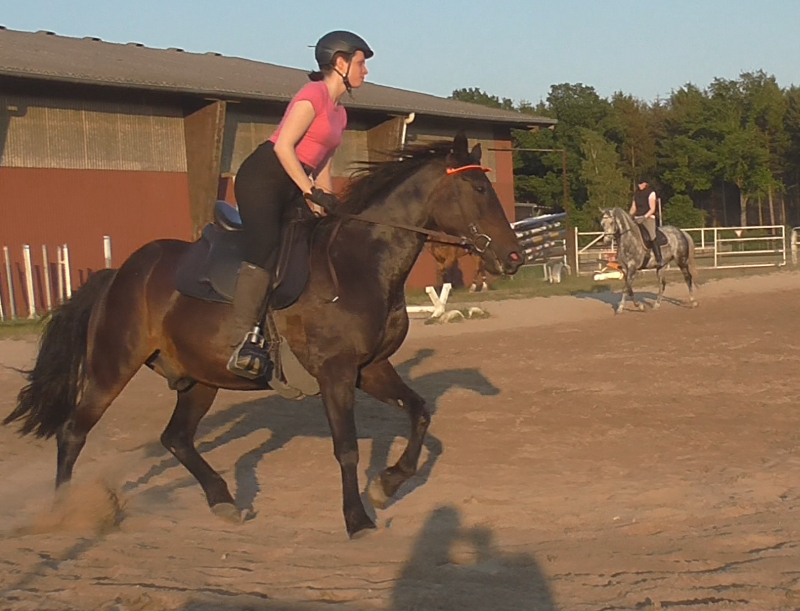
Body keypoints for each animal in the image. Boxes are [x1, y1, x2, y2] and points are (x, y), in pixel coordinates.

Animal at [4, 133, 523, 538]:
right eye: (479, 188)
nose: (514, 257)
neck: (360, 263)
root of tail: (120, 273)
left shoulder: (370, 368)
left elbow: (419, 413)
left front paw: (388, 483)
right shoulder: (336, 373)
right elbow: (347, 448)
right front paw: (358, 518)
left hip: (201, 378)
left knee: (176, 438)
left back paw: (223, 501)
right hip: (113, 366)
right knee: (73, 432)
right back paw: (62, 513)